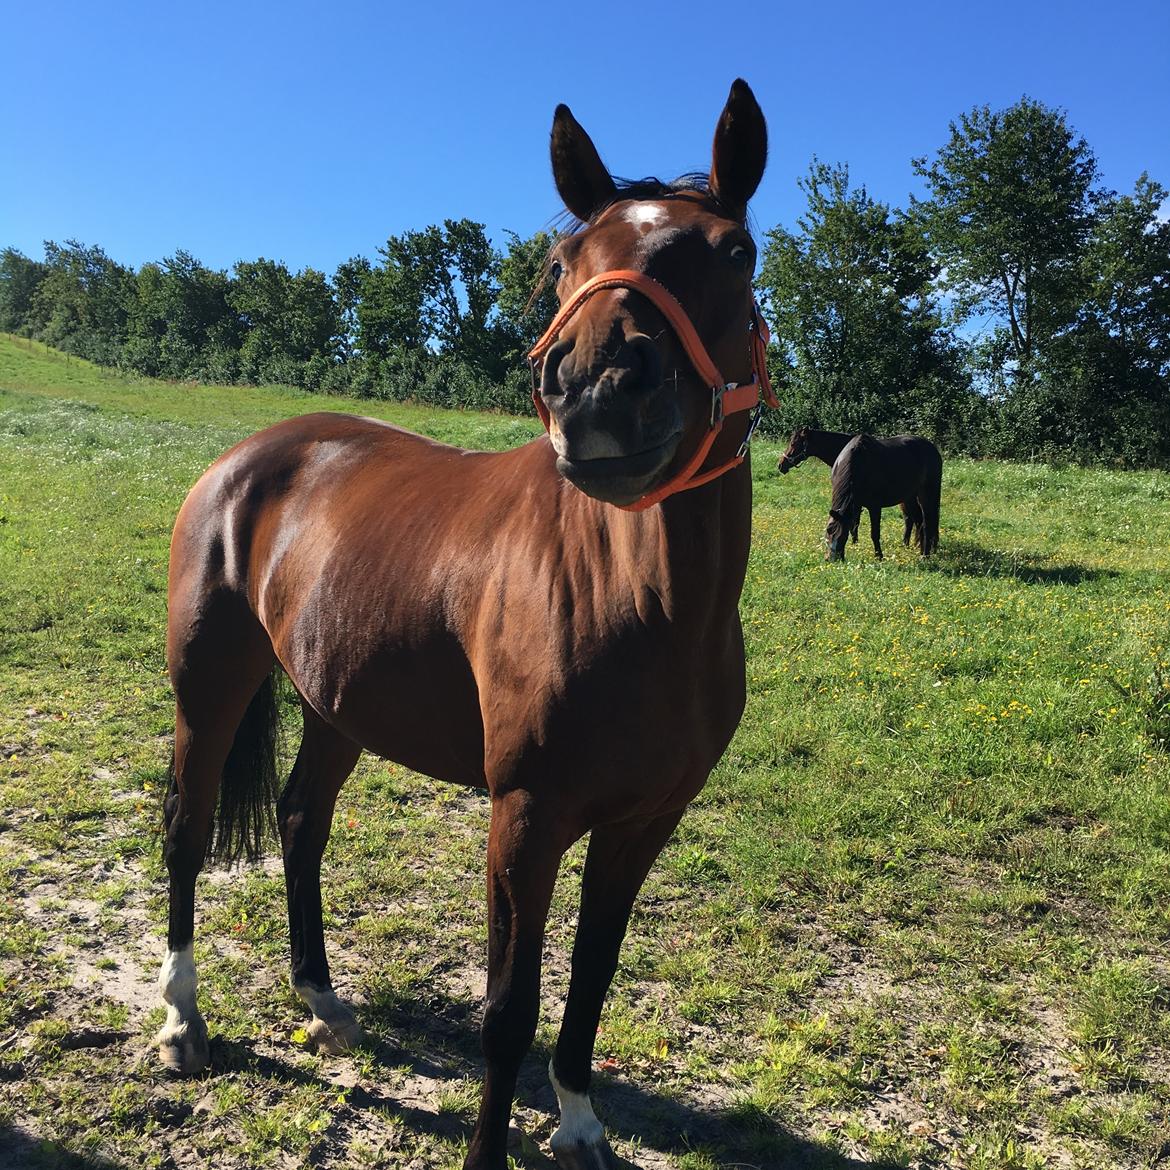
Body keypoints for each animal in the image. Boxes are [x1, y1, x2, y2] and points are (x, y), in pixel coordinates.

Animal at [157, 80, 776, 1170]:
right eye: (569, 258)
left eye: (734, 251)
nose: (598, 391)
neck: (641, 606)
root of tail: (246, 459)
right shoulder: (524, 818)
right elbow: (507, 1011)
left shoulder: (642, 825)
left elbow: (591, 984)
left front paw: (579, 1123)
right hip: (211, 690)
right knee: (188, 834)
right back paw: (183, 1021)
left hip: (337, 706)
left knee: (299, 821)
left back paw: (322, 999)